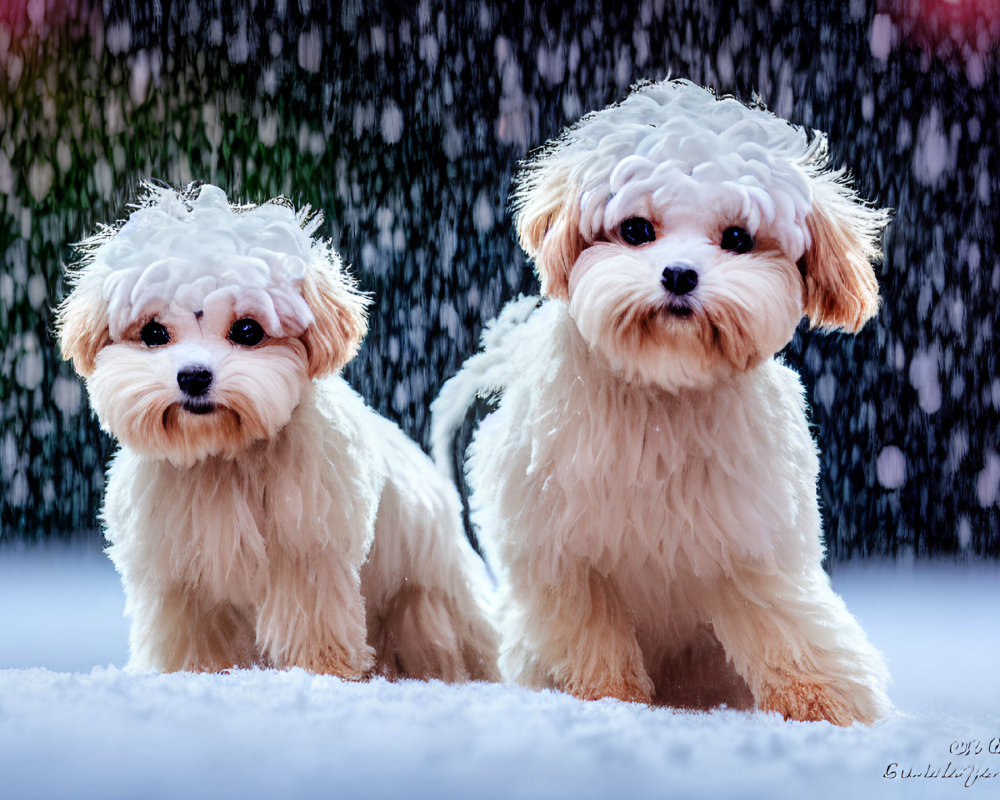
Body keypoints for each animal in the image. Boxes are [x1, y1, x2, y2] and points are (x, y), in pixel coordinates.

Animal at [57, 183, 496, 680]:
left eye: (247, 330)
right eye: (153, 333)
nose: (193, 376)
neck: (223, 455)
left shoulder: (310, 554)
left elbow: (313, 621)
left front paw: (322, 672)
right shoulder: (181, 579)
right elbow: (193, 637)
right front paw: (197, 673)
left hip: (427, 602)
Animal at [430, 79, 892, 724]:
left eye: (738, 239)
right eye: (635, 230)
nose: (679, 274)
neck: (662, 392)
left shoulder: (753, 537)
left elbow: (783, 621)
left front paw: (822, 703)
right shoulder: (560, 553)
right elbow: (588, 633)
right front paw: (606, 700)